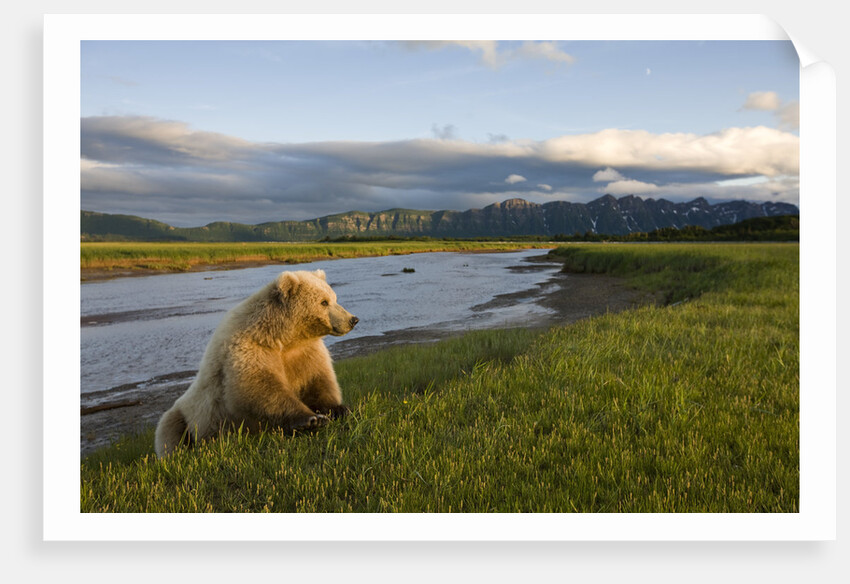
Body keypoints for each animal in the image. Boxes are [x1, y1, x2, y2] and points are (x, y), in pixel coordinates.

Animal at [154, 269, 358, 456]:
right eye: (324, 302)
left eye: (334, 298)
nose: (353, 319)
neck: (282, 338)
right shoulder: (250, 349)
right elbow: (260, 387)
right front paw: (312, 419)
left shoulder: (305, 352)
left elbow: (317, 380)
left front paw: (339, 409)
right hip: (186, 415)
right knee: (170, 434)